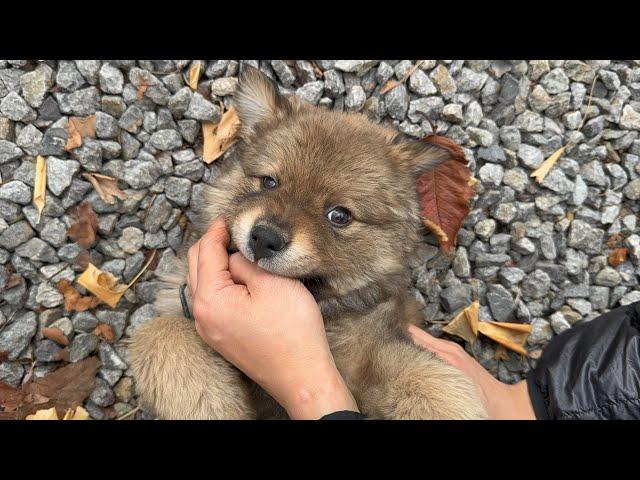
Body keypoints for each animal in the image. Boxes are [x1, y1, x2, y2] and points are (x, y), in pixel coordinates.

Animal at [131, 65, 490, 418]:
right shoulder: (179, 303)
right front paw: (214, 404)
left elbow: (430, 381)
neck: (325, 310)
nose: (265, 238)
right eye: (269, 182)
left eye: (339, 216)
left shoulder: (376, 350)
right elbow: (162, 335)